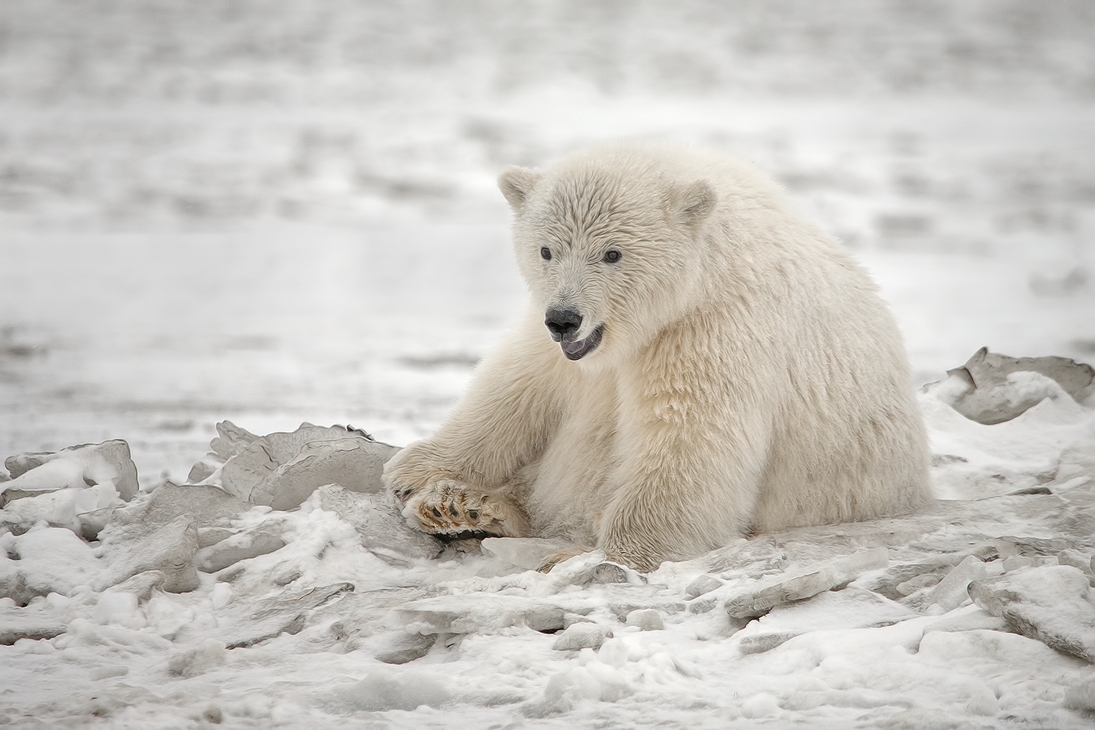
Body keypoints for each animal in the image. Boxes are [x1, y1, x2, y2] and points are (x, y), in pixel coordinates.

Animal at [385, 142, 932, 573]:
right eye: (546, 250)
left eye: (612, 253)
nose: (564, 319)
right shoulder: (564, 346)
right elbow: (519, 383)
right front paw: (412, 471)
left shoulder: (714, 330)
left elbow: (688, 438)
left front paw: (615, 554)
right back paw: (462, 508)